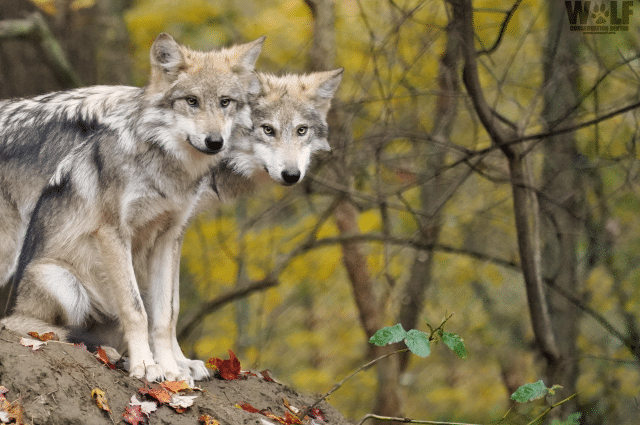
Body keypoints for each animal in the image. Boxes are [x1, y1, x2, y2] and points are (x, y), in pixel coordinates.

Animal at [0, 33, 264, 383]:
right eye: (191, 101)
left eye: (225, 102)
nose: (215, 142)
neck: (166, 170)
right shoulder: (113, 233)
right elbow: (135, 309)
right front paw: (146, 366)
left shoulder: (168, 238)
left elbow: (166, 314)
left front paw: (170, 370)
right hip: (61, 283)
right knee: (38, 329)